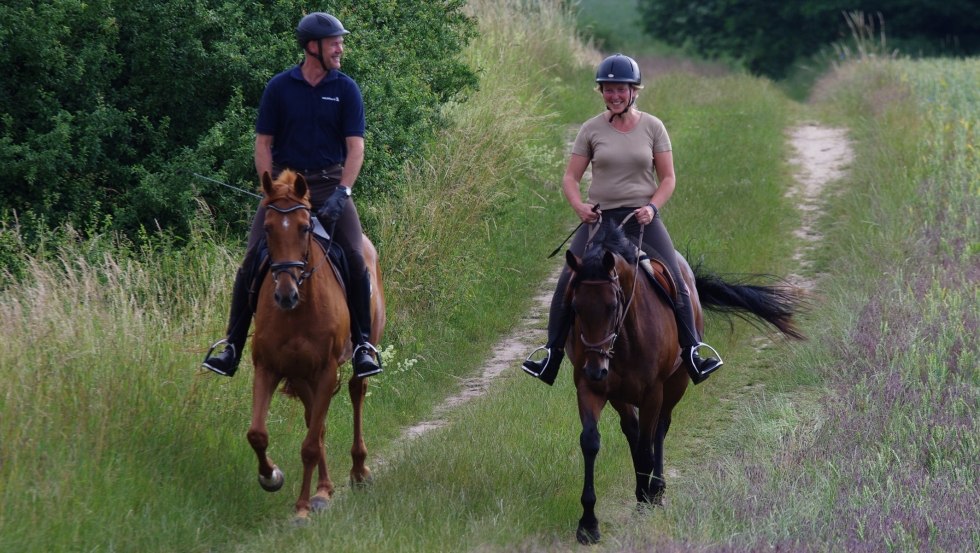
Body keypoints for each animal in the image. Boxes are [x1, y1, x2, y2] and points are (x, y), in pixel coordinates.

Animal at [247, 170, 384, 524]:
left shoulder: (325, 371)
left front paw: (302, 508)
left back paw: (358, 471)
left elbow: (309, 445)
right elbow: (258, 434)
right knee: (315, 422)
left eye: (303, 228)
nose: (285, 294)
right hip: (302, 376)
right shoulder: (269, 368)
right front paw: (272, 477)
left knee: (356, 392)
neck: (300, 310)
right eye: (268, 228)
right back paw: (324, 488)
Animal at [564, 218, 800, 540]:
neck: (624, 338)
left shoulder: (653, 391)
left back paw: (656, 489)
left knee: (659, 430)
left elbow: (648, 446)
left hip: (675, 382)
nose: (595, 368)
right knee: (633, 431)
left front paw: (647, 501)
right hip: (622, 395)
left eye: (612, 306)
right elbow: (592, 441)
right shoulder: (594, 389)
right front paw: (588, 523)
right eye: (575, 307)